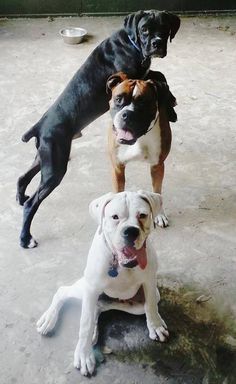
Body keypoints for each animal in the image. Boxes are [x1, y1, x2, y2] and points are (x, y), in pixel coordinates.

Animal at [37, 190, 169, 376]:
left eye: (142, 215)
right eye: (115, 217)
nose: (131, 231)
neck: (120, 264)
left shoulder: (149, 281)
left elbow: (151, 307)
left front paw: (155, 326)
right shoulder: (91, 287)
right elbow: (84, 322)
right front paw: (84, 355)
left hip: (138, 302)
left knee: (99, 308)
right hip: (85, 288)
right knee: (63, 292)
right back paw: (49, 320)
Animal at [107, 72, 177, 226]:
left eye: (143, 102)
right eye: (118, 99)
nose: (127, 114)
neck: (138, 139)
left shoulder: (157, 166)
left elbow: (157, 191)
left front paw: (159, 215)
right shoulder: (117, 168)